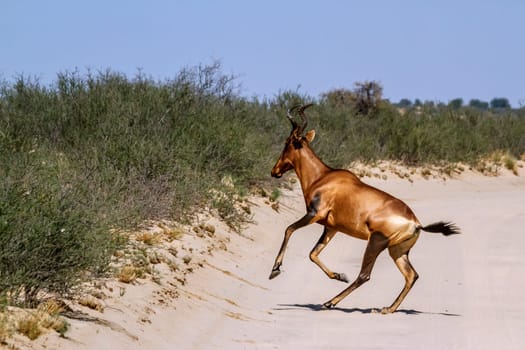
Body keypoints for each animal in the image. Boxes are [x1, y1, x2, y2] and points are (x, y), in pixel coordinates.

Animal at [270, 102, 458, 314]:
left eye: (287, 142)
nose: (274, 171)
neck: (323, 177)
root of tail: (416, 223)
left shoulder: (313, 214)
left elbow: (289, 230)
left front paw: (275, 270)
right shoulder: (331, 227)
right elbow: (313, 254)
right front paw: (339, 275)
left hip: (375, 242)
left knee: (364, 275)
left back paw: (330, 302)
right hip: (397, 251)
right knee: (411, 275)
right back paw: (387, 309)